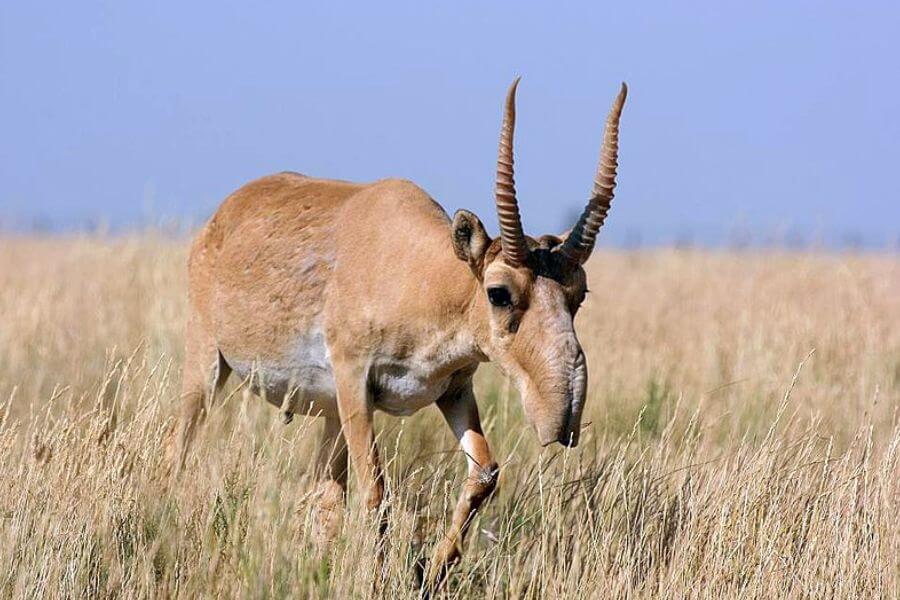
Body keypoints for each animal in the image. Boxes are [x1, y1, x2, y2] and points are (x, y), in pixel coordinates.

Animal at [176, 77, 624, 588]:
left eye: (579, 293)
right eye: (499, 292)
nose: (562, 416)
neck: (421, 274)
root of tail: (224, 214)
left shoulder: (453, 390)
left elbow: (484, 473)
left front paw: (431, 570)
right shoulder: (355, 383)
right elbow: (375, 488)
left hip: (329, 415)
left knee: (323, 496)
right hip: (208, 366)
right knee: (181, 447)